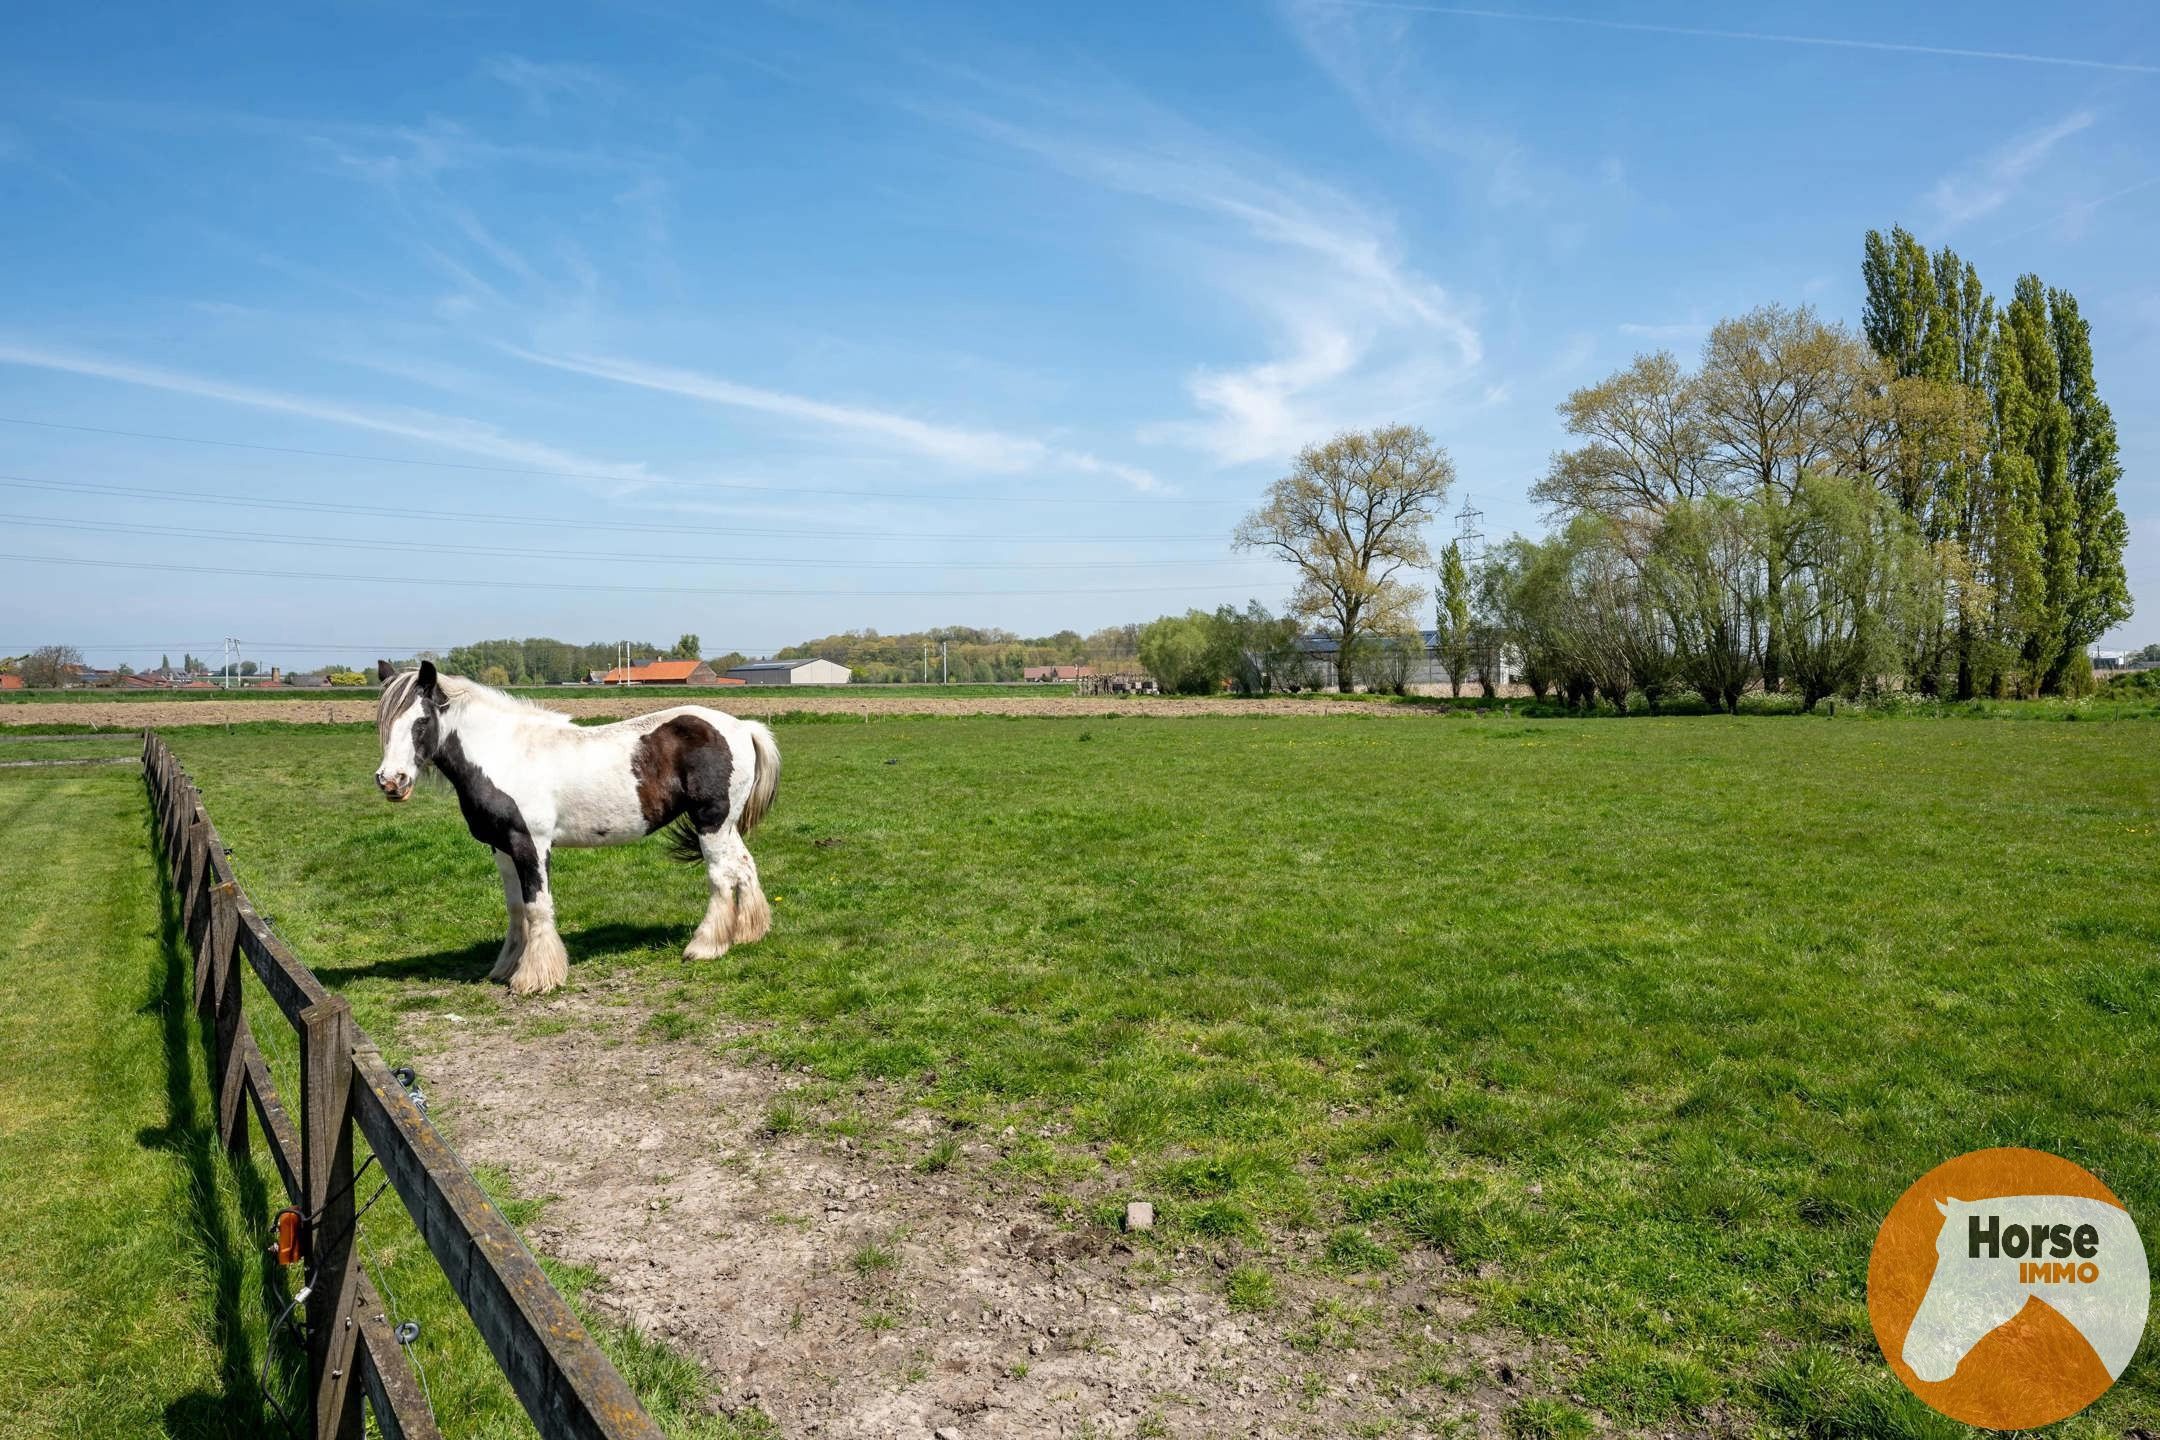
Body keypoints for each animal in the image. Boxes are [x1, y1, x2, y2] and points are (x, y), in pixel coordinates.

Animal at [375, 660, 781, 993]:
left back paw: (704, 947)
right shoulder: (502, 849)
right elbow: (516, 908)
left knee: (721, 877)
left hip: (711, 822)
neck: (504, 754)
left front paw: (536, 978)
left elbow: (537, 907)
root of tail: (742, 727)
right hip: (726, 825)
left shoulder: (531, 845)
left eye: (421, 722)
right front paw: (507, 967)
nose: (391, 781)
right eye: (384, 724)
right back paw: (748, 934)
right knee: (744, 867)